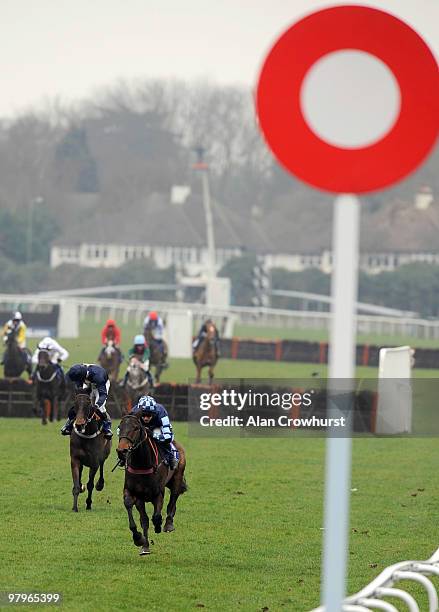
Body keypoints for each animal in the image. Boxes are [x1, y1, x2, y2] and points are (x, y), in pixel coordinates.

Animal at [117, 412, 187, 556]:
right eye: (120, 427)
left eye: (136, 428)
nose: (122, 451)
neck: (142, 464)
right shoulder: (134, 493)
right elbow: (139, 518)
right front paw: (141, 541)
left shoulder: (158, 493)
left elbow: (156, 516)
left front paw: (158, 525)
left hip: (177, 479)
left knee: (172, 501)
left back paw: (168, 524)